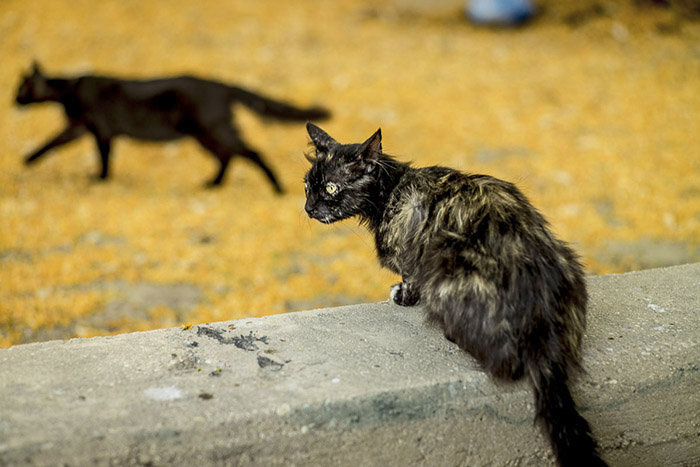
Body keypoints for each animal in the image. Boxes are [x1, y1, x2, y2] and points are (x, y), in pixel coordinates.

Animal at [13, 63, 330, 193]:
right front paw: (28, 159)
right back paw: (214, 184)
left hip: (209, 130)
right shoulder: (78, 128)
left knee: (249, 152)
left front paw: (101, 178)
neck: (69, 91)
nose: (13, 100)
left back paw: (275, 187)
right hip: (205, 135)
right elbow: (51, 143)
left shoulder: (99, 131)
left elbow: (101, 157)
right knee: (228, 156)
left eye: (21, 89)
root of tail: (221, 85)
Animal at [304, 122, 608, 466]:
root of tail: (541, 329)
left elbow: (410, 279)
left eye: (331, 188)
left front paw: (402, 296)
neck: (391, 189)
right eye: (308, 186)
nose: (309, 208)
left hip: (445, 266)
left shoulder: (410, 253)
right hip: (567, 258)